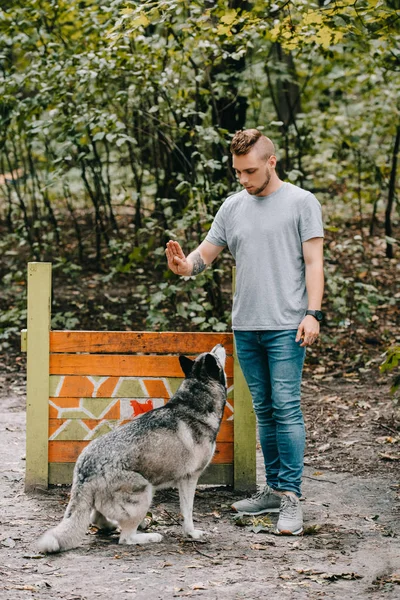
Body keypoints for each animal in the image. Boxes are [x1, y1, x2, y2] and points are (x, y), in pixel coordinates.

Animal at [38, 342, 227, 552]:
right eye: (215, 354)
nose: (220, 344)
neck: (194, 405)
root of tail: (85, 470)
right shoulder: (189, 478)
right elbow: (188, 512)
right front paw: (191, 533)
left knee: (96, 518)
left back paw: (113, 525)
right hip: (145, 492)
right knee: (125, 538)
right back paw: (150, 536)